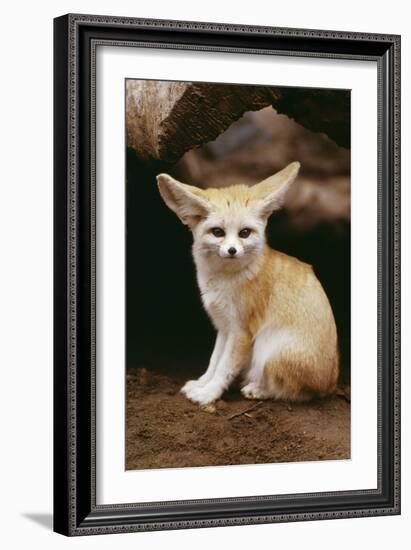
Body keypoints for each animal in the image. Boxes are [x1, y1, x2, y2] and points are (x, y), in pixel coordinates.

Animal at [156, 162, 340, 408]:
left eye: (244, 233)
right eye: (218, 232)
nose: (232, 250)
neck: (223, 279)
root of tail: (331, 384)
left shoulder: (241, 331)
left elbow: (225, 368)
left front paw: (209, 394)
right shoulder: (223, 326)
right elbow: (214, 361)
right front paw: (202, 383)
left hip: (267, 348)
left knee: (296, 393)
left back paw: (258, 389)